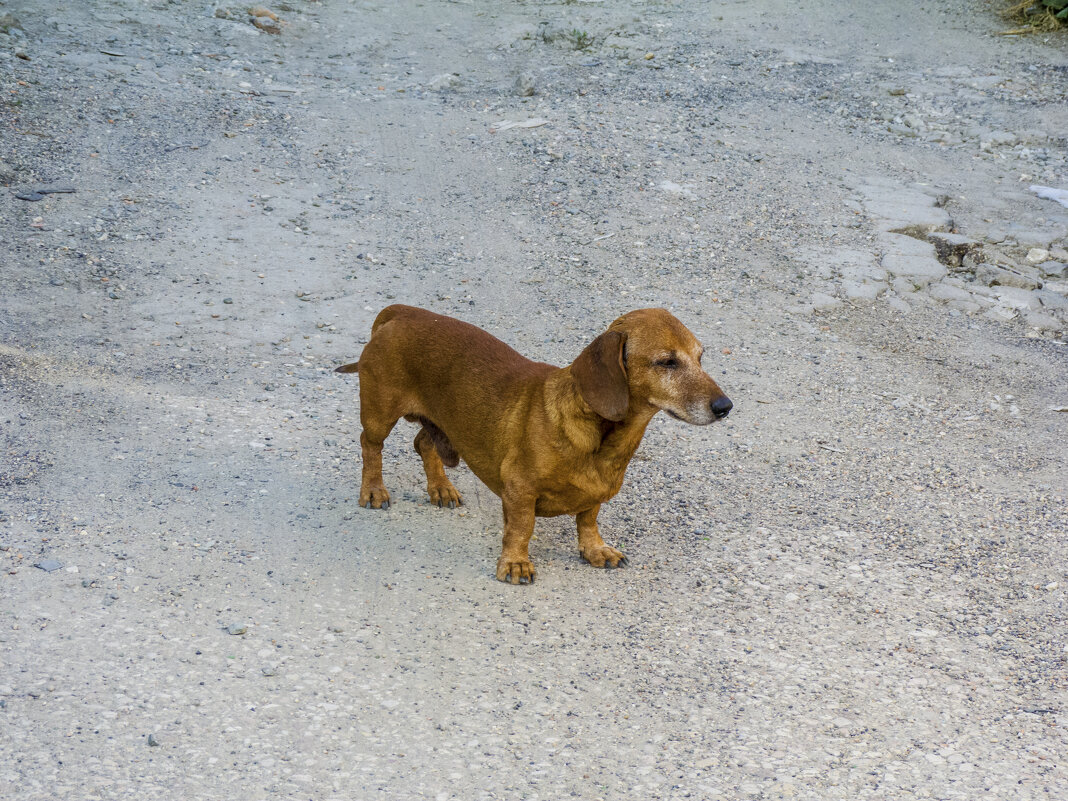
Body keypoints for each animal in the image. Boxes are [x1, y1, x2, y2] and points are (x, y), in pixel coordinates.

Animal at [337, 303, 730, 585]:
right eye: (666, 362)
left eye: (700, 357)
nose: (725, 407)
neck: (600, 438)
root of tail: (402, 313)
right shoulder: (519, 489)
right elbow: (521, 527)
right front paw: (515, 563)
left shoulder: (596, 494)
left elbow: (588, 518)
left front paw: (596, 549)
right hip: (379, 413)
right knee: (371, 447)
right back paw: (373, 490)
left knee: (424, 442)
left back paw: (441, 488)